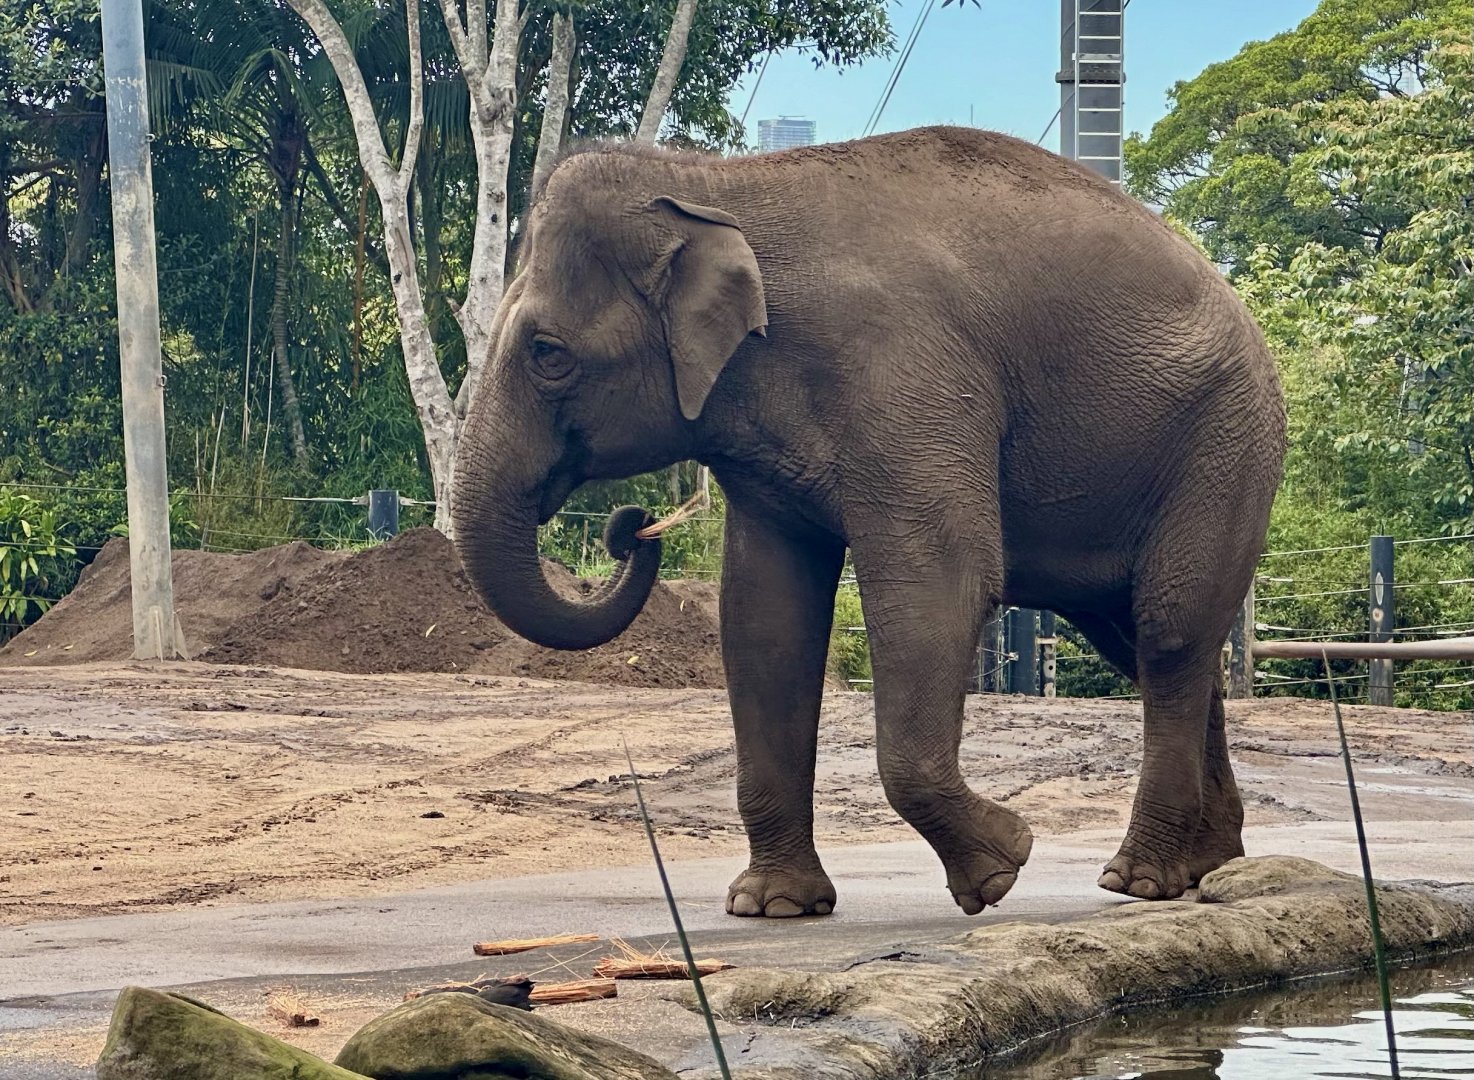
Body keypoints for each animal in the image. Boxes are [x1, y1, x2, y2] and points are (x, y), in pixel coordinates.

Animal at [450, 126, 1286, 918]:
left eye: (547, 352)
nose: (634, 525)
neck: (715, 184)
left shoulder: (908, 377)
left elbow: (938, 584)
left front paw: (1001, 867)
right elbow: (766, 617)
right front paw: (774, 905)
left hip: (1224, 445)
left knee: (1168, 632)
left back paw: (1136, 879)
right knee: (1151, 643)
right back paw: (1202, 870)